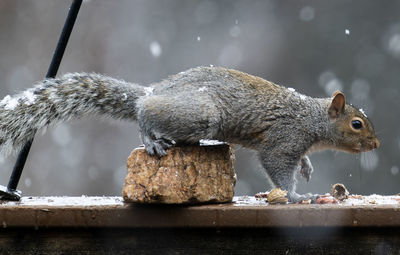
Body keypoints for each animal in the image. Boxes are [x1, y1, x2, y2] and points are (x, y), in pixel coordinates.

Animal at [0, 66, 380, 202]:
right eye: (356, 124)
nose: (377, 144)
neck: (313, 120)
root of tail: (155, 90)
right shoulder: (282, 140)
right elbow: (277, 167)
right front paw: (298, 195)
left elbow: (299, 163)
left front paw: (307, 168)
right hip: (200, 114)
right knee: (144, 111)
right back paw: (150, 137)